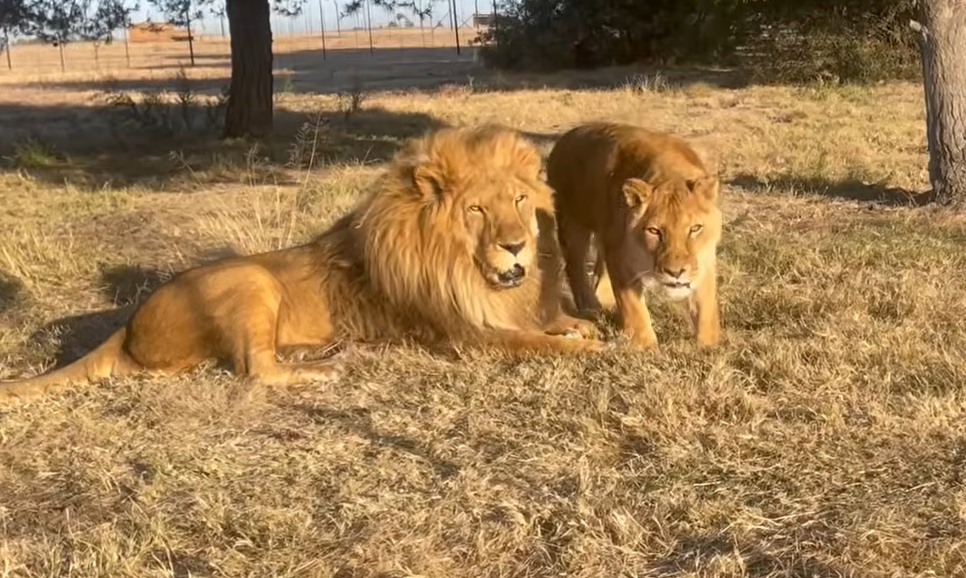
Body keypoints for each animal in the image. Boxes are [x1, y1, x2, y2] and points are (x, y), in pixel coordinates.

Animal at [0, 124, 602, 403]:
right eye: (476, 209)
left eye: (520, 200)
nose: (517, 244)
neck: (466, 267)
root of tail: (127, 325)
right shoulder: (466, 336)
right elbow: (536, 343)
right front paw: (586, 347)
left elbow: (559, 321)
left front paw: (586, 328)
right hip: (251, 278)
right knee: (254, 369)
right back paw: (320, 369)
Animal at [545, 121, 723, 349]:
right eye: (654, 231)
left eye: (695, 229)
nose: (675, 273)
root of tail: (565, 137)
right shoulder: (620, 255)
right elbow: (633, 307)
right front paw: (645, 345)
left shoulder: (704, 258)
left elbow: (706, 307)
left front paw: (709, 344)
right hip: (573, 223)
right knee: (574, 267)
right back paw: (592, 308)